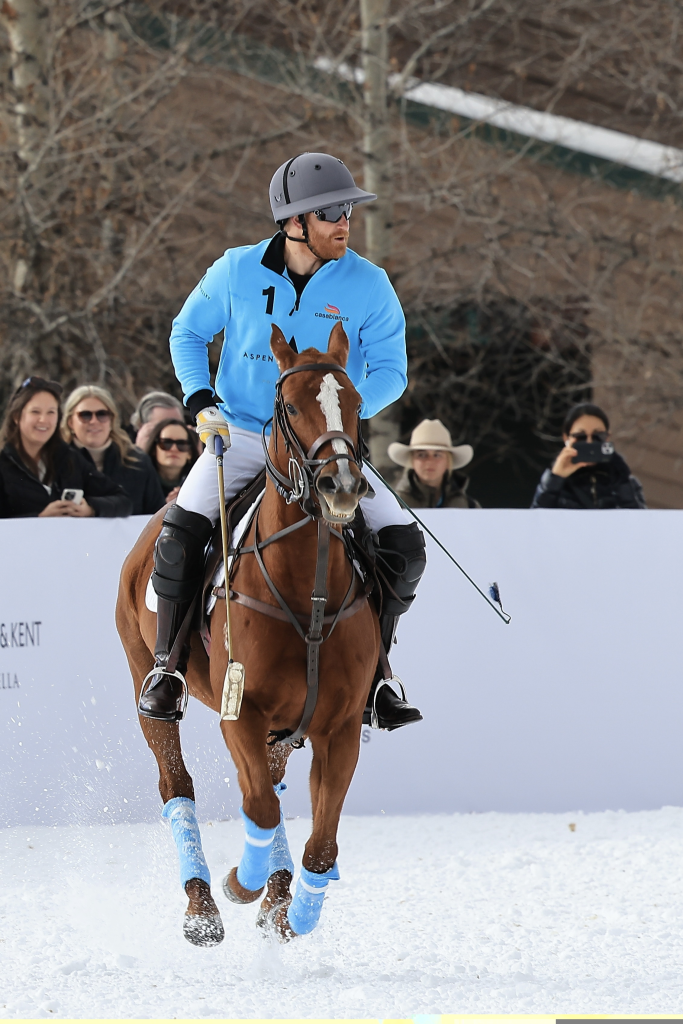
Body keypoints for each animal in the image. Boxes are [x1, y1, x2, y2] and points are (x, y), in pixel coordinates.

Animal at [116, 322, 379, 945]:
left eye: (357, 403)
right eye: (291, 406)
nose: (340, 486)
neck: (309, 593)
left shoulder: (340, 728)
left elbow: (320, 841)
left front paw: (296, 910)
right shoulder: (242, 712)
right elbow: (258, 806)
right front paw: (243, 883)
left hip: (288, 726)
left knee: (276, 787)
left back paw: (278, 897)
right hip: (145, 673)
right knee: (177, 782)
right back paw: (204, 907)